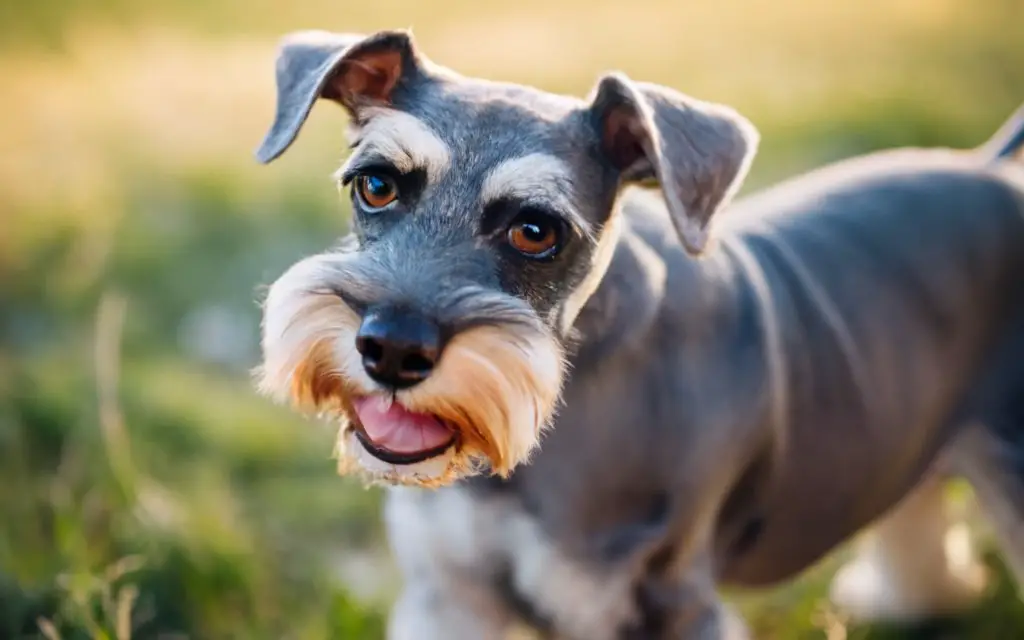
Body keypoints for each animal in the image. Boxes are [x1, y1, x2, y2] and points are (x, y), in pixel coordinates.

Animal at [253, 27, 1024, 634]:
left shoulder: (664, 608)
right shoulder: (449, 596)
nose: (391, 349)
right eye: (376, 184)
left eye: (536, 230)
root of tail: (990, 167)